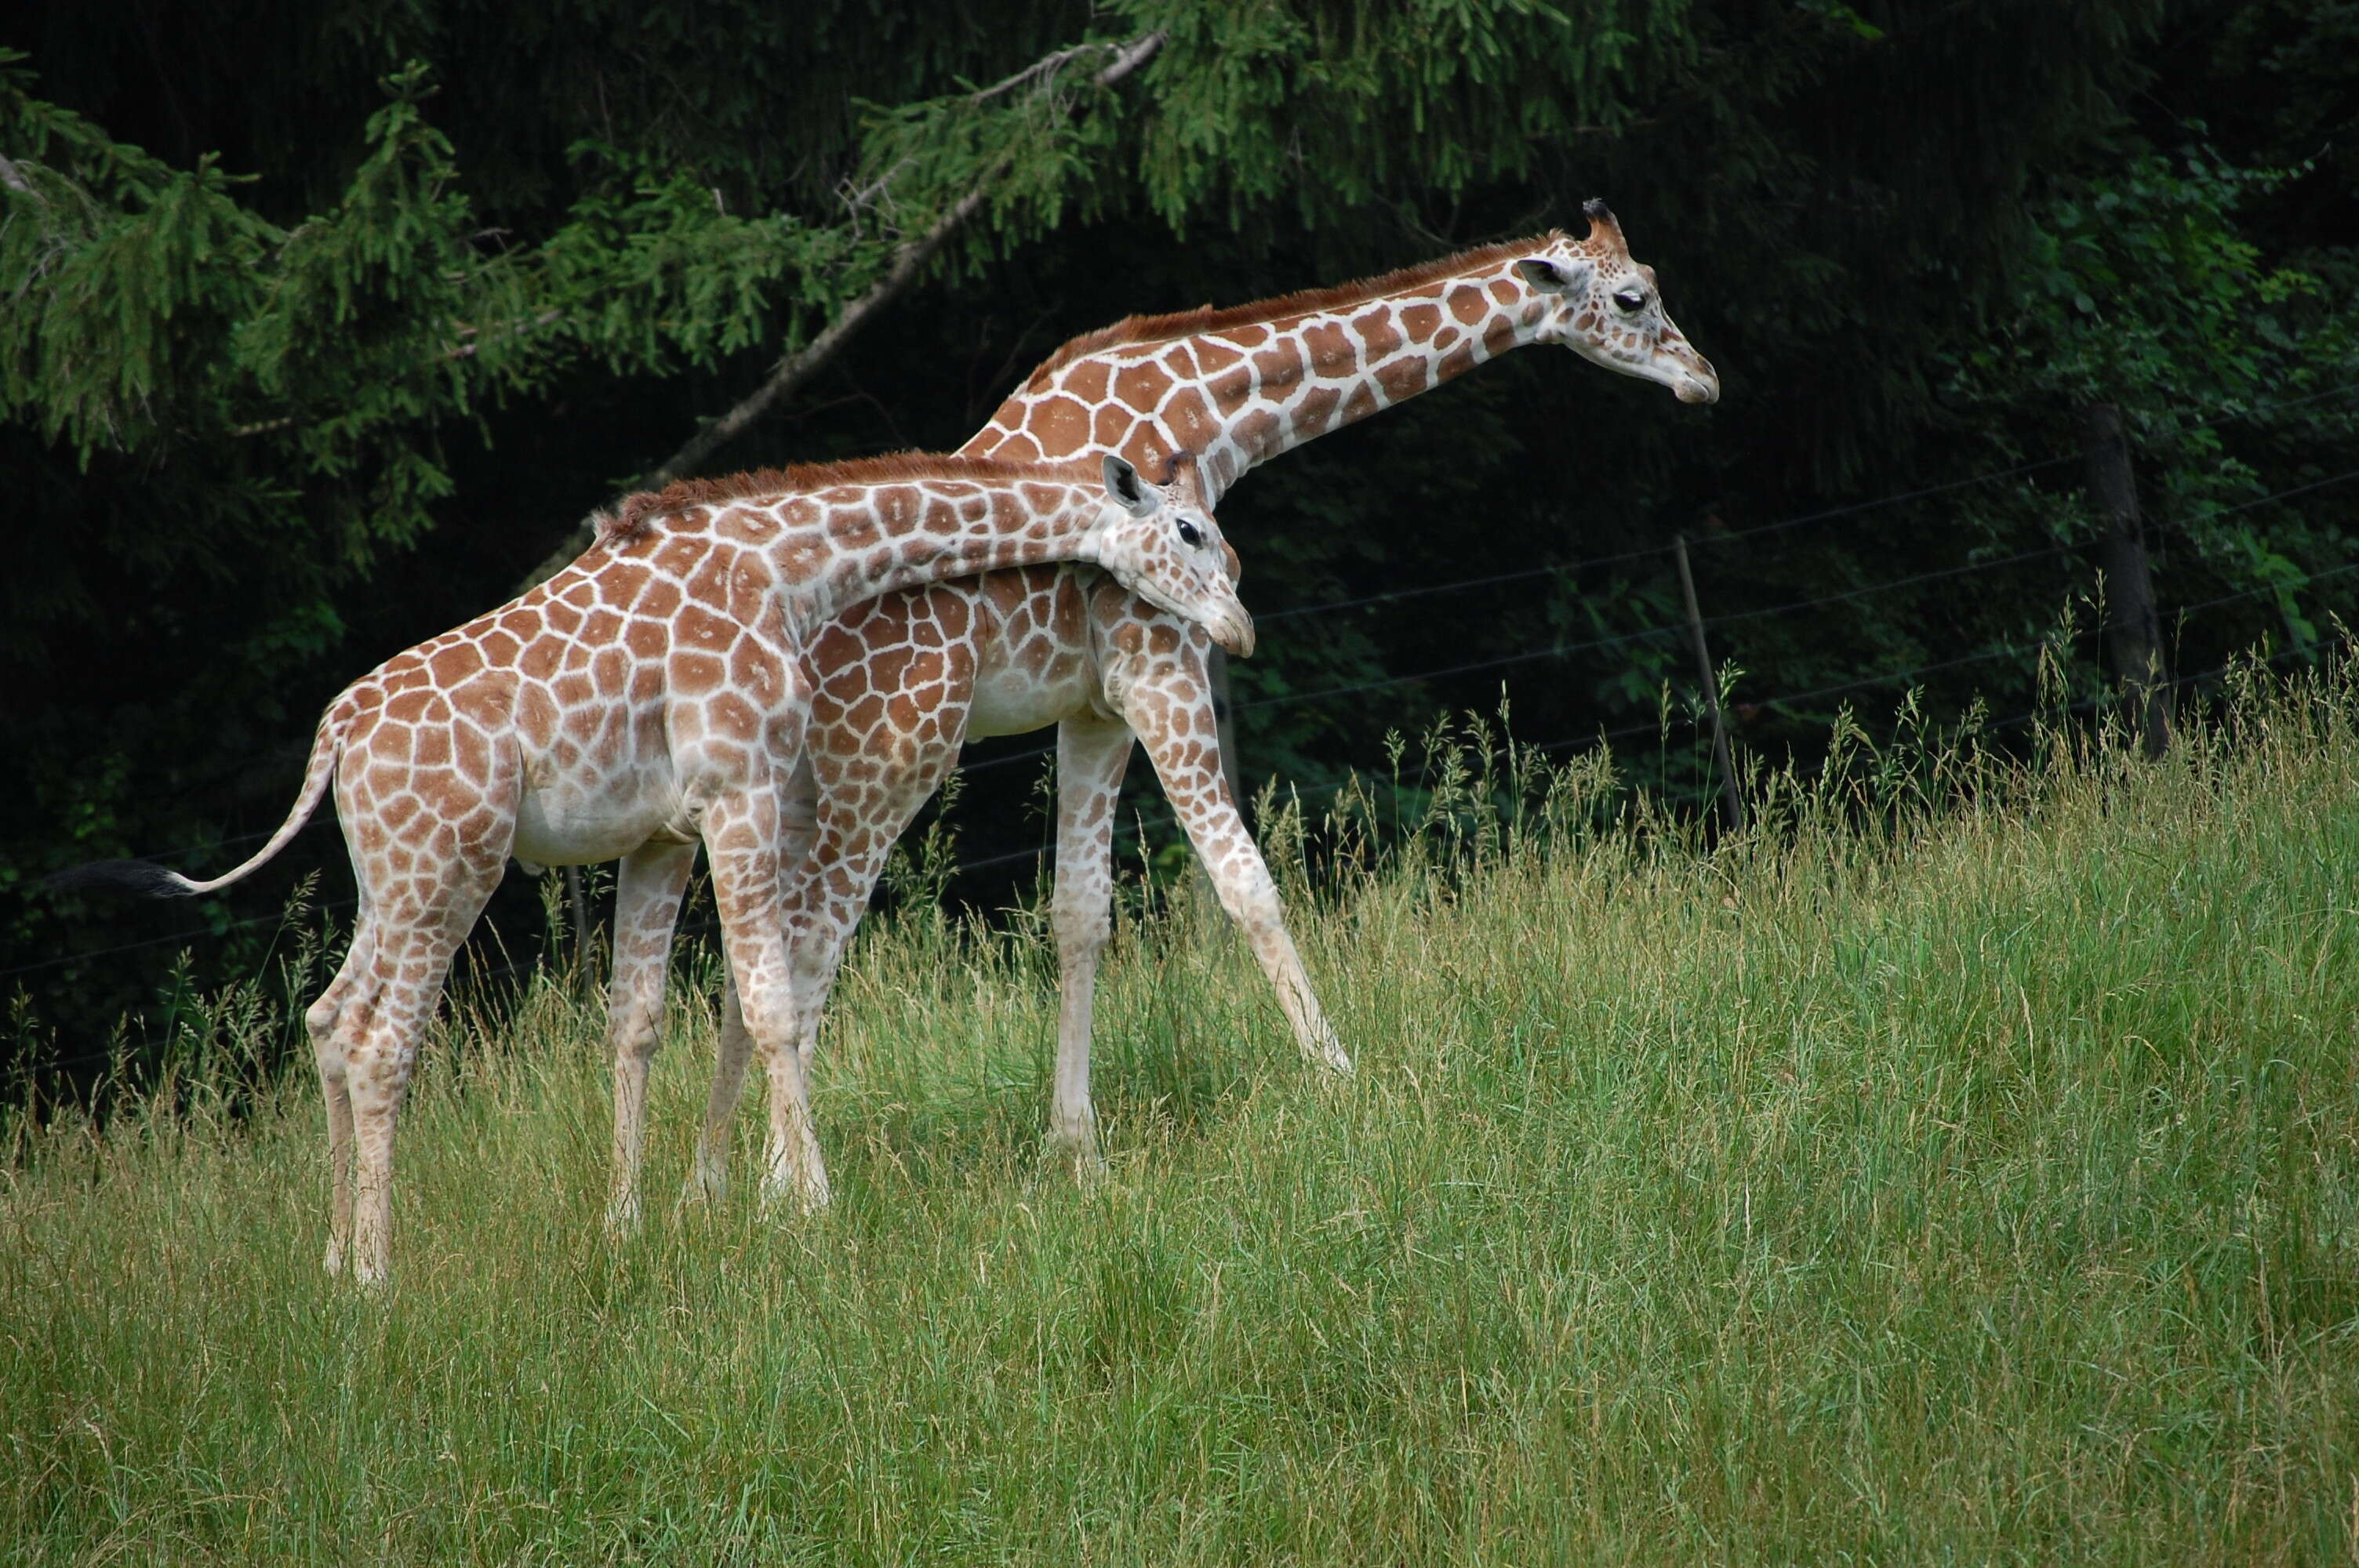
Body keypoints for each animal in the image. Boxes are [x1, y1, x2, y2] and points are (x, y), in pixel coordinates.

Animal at [60, 445, 1255, 1283]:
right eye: (1190, 529)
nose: (1238, 628)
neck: (788, 565)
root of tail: (336, 735)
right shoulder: (741, 788)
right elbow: (771, 1001)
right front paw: (812, 1207)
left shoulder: (660, 832)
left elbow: (639, 1020)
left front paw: (629, 1225)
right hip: (449, 868)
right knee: (379, 1042)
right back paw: (376, 1275)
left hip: (386, 878)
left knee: (324, 1015)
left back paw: (330, 1254)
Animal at [665, 195, 1717, 1197]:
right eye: (1633, 298)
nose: (1703, 379)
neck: (1208, 413)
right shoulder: (1159, 659)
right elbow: (1244, 881)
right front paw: (1344, 1081)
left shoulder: (1094, 704)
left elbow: (1079, 913)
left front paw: (1076, 1148)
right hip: (889, 755)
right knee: (805, 943)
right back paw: (780, 1183)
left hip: (782, 789)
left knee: (749, 957)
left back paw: (707, 1185)